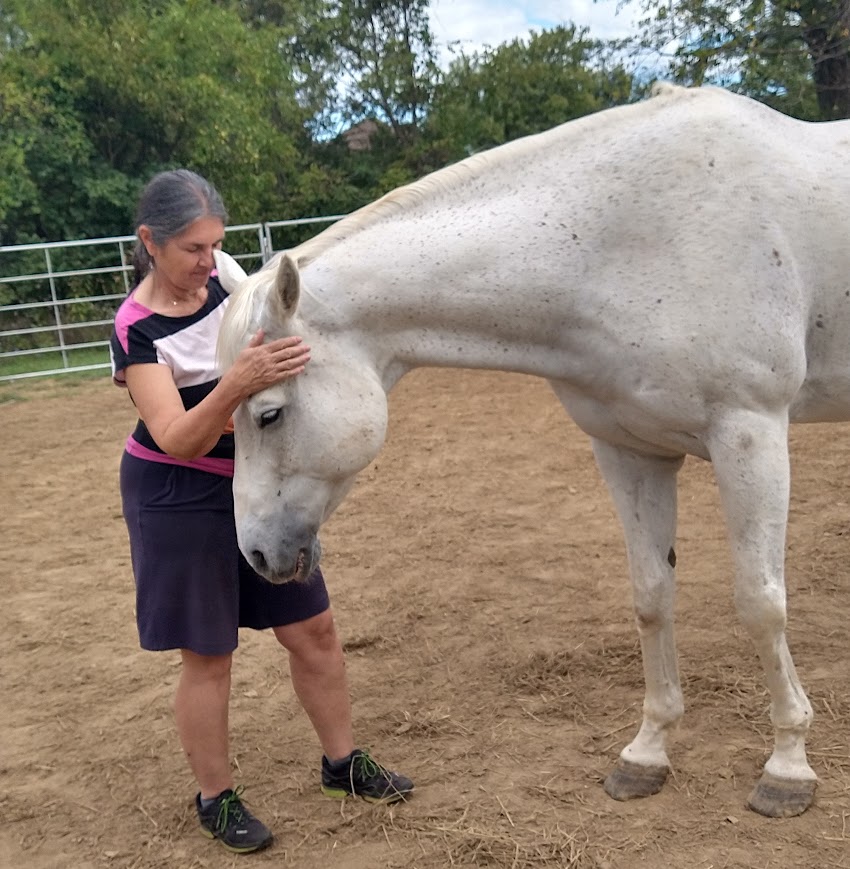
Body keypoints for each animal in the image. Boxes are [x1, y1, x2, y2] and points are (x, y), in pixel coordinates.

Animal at [215, 82, 850, 819]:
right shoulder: (628, 450)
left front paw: (788, 765)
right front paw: (647, 751)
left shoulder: (751, 433)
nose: (255, 553)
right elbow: (651, 595)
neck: (621, 244)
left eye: (268, 412)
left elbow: (761, 602)